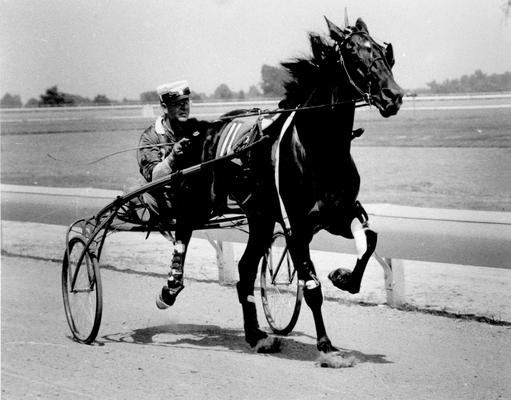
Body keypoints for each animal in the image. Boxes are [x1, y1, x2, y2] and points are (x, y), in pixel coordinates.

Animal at [209, 15, 404, 354]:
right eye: (353, 55)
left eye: (383, 51)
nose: (394, 95)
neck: (321, 149)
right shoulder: (297, 226)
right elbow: (311, 287)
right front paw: (325, 344)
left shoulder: (338, 215)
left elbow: (370, 239)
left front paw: (345, 278)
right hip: (261, 217)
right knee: (247, 270)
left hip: (261, 220)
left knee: (246, 270)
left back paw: (255, 334)